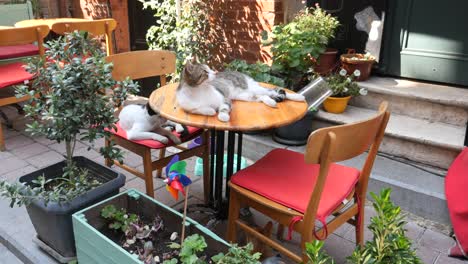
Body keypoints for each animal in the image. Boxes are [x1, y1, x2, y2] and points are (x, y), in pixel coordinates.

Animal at [175, 60, 304, 122]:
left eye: (210, 68)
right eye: (205, 72)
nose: (215, 72)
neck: (199, 91)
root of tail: (239, 72)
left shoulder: (225, 98)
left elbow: (224, 108)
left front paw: (223, 116)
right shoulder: (187, 107)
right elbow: (200, 109)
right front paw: (210, 110)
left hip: (251, 88)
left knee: (273, 91)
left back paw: (299, 97)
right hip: (245, 96)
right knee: (261, 96)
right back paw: (271, 102)